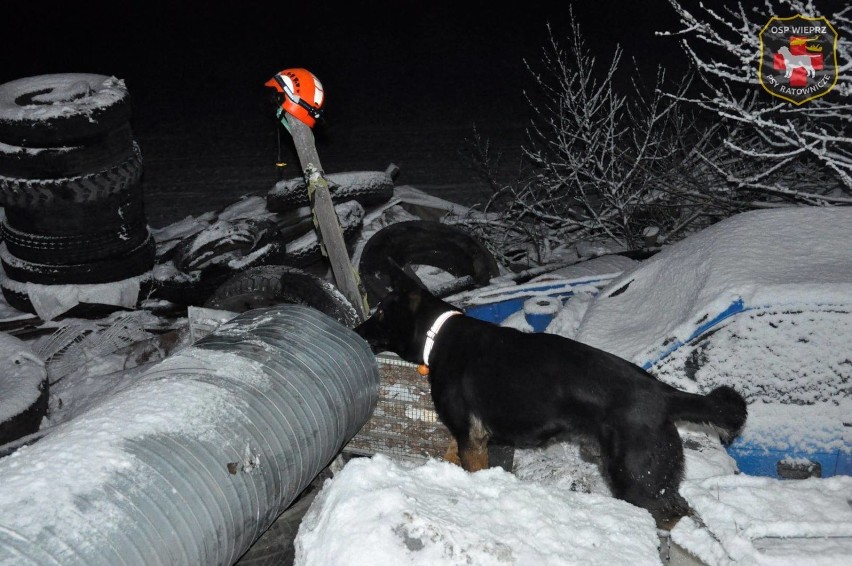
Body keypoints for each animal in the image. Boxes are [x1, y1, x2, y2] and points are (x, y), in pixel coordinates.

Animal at [356, 268, 748, 532]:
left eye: (380, 313)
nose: (355, 331)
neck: (438, 335)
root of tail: (664, 394)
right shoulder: (471, 438)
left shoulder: (471, 437)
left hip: (636, 478)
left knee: (671, 514)